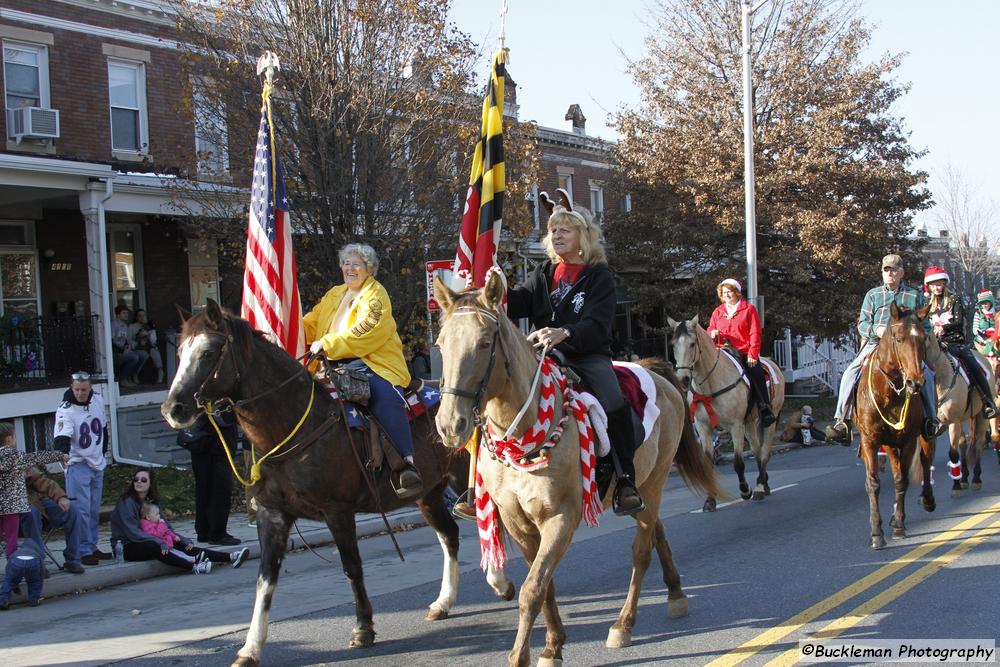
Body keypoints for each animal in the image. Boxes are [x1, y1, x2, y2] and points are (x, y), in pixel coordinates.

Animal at [160, 300, 468, 664]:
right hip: (430, 493)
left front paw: (363, 628)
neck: (294, 426)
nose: (173, 408)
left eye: (208, 352)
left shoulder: (338, 511)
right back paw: (444, 602)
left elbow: (352, 566)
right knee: (450, 535)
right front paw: (250, 647)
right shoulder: (272, 515)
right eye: (180, 351)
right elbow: (265, 579)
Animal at [434, 272, 724, 667]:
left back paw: (623, 625)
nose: (450, 424)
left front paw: (522, 655)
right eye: (440, 344)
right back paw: (676, 594)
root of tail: (657, 373)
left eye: (483, 342)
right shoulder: (519, 523)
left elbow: (532, 589)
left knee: (641, 550)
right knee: (656, 531)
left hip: (654, 483)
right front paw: (553, 645)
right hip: (643, 490)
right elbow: (544, 586)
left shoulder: (560, 519)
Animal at [668, 318, 784, 512]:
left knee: (765, 451)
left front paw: (745, 490)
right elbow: (708, 464)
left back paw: (759, 488)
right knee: (757, 449)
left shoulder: (735, 426)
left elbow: (738, 462)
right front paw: (710, 500)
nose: (683, 379)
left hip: (769, 418)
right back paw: (765, 484)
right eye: (674, 344)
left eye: (692, 344)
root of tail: (772, 362)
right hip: (750, 423)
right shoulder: (703, 428)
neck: (710, 385)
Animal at [848, 302, 932, 548]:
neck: (889, 392)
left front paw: (899, 527)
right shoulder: (870, 441)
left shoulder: (909, 440)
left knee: (922, 464)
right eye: (898, 338)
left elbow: (902, 481)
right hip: (888, 444)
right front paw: (876, 533)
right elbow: (873, 483)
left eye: (923, 338)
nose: (915, 382)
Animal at [920, 334, 992, 496]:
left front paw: (956, 487)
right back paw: (964, 477)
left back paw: (976, 478)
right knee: (963, 444)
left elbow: (952, 453)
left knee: (978, 442)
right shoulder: (928, 429)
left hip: (979, 416)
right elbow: (926, 458)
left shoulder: (953, 421)